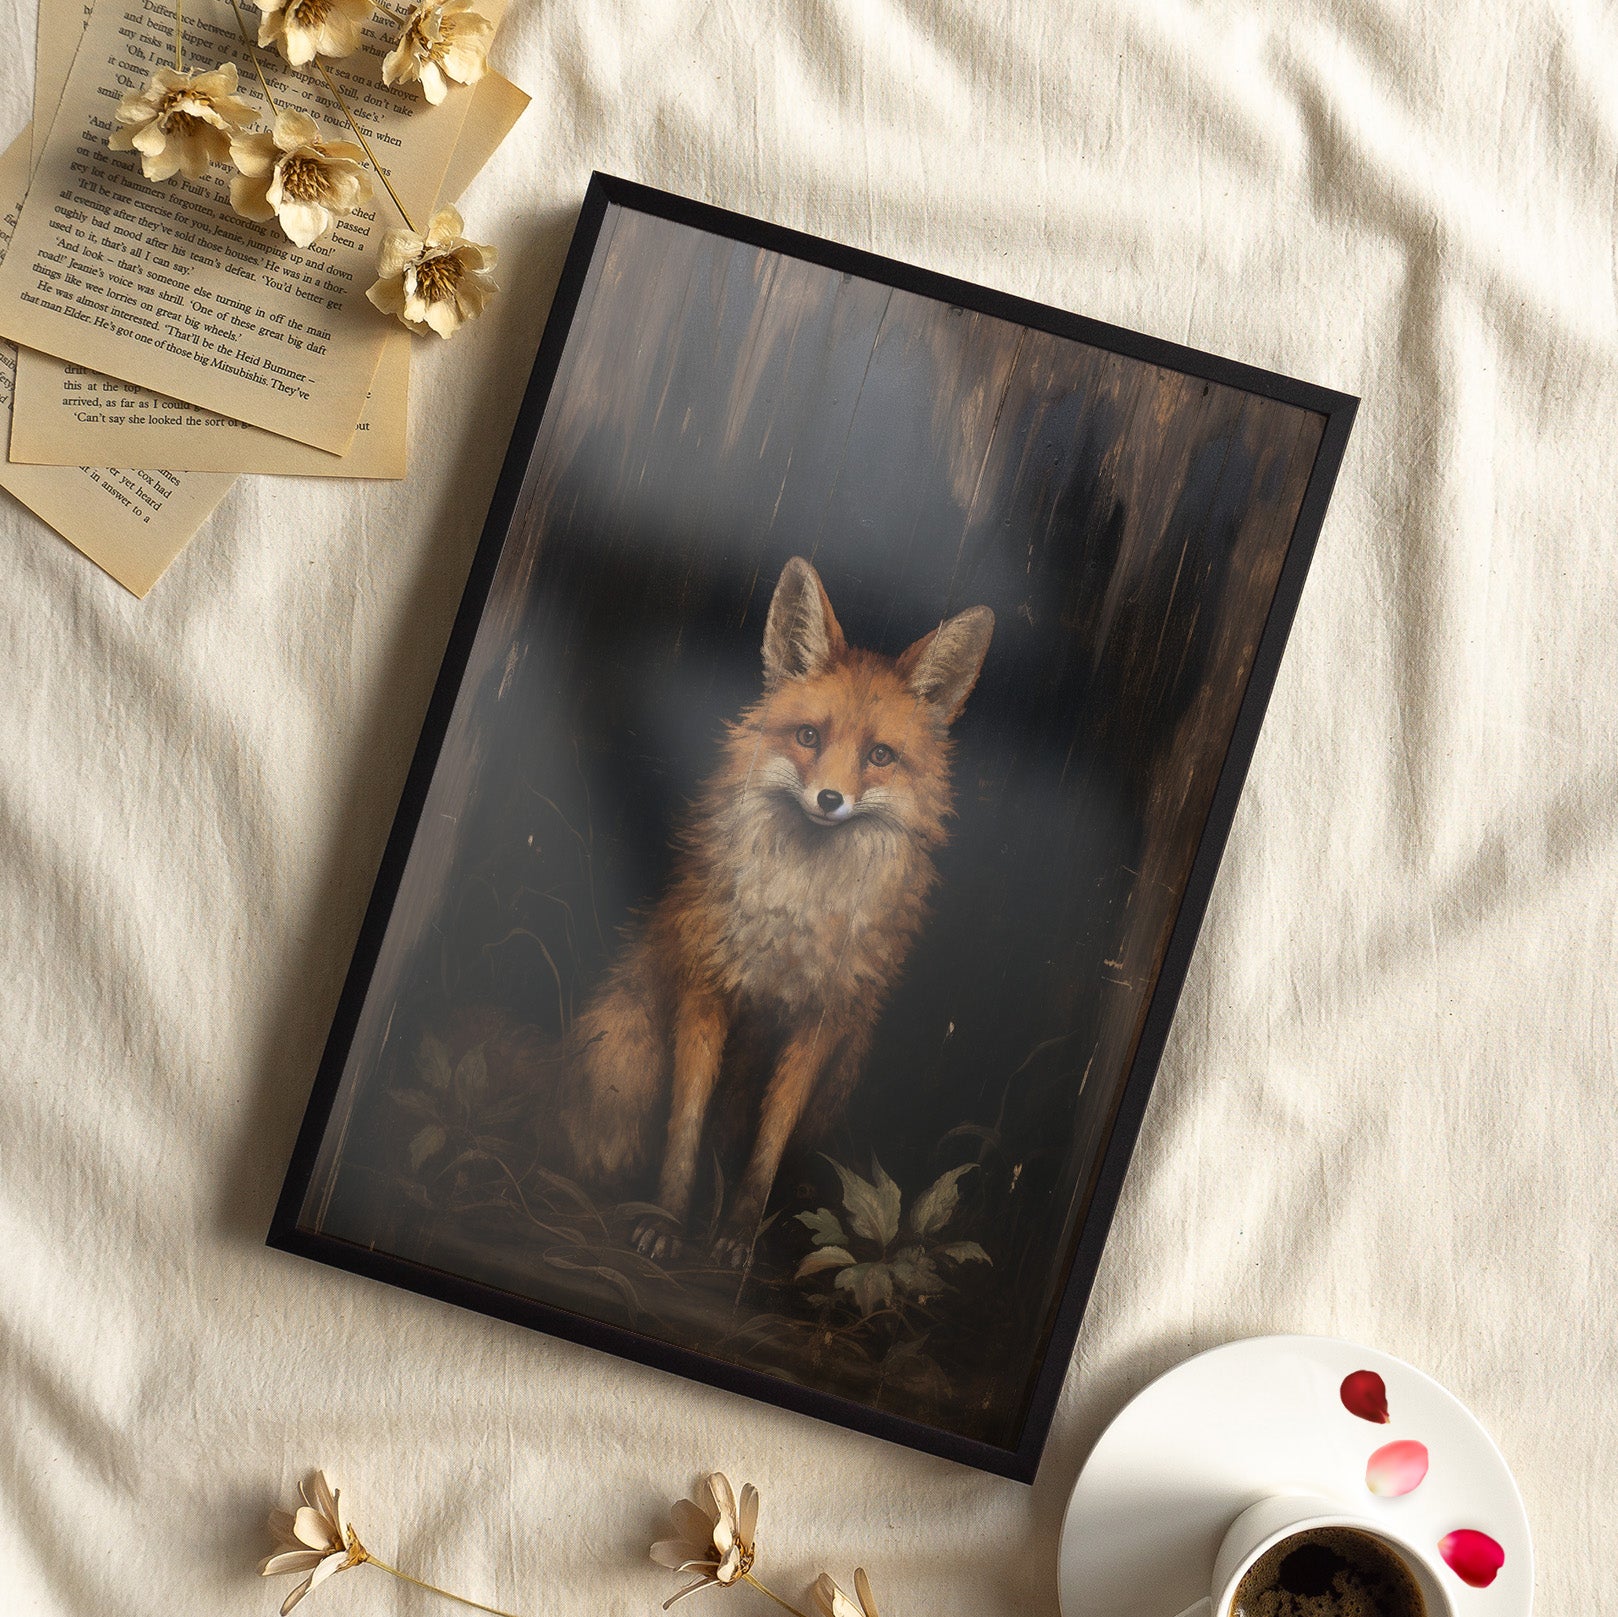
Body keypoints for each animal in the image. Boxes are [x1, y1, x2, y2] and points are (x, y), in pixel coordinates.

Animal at [556, 556, 994, 1267]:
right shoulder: (706, 992)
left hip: (846, 1064)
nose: (829, 799)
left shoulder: (820, 1020)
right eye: (809, 737)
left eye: (880, 756)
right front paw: (667, 1221)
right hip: (626, 1049)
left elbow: (768, 1142)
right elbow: (684, 1127)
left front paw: (736, 1234)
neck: (795, 922)